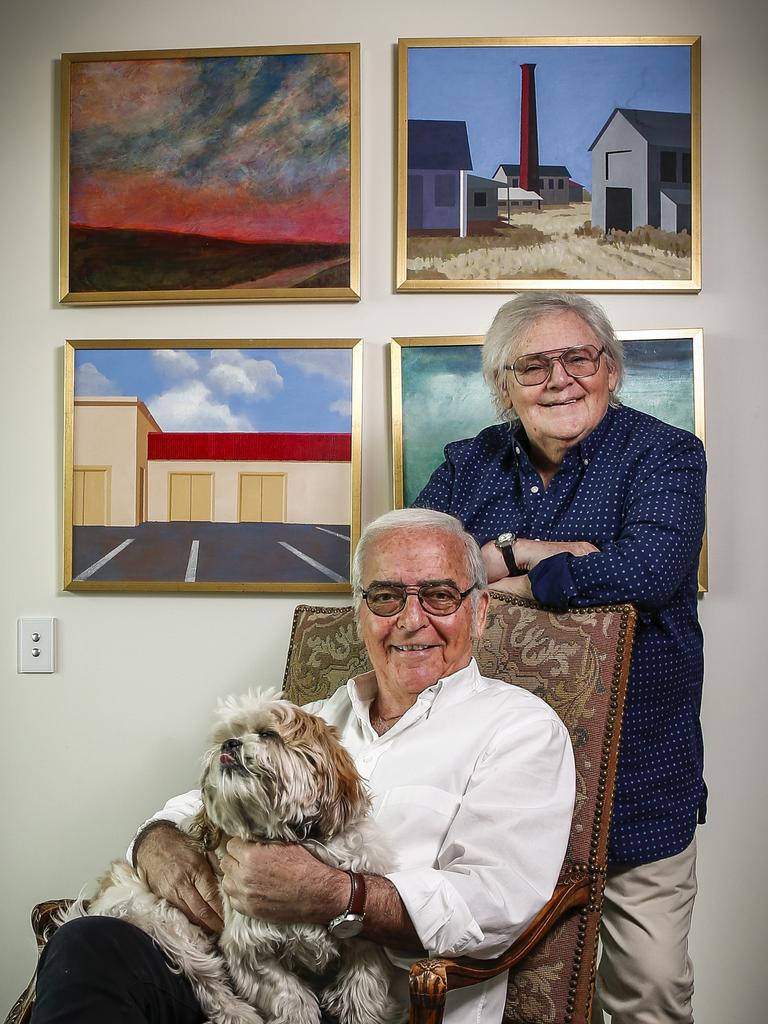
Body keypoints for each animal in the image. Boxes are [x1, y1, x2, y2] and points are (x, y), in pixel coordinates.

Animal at [64, 688, 403, 1024]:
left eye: (267, 734)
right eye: (227, 735)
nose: (229, 744)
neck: (292, 838)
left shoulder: (366, 939)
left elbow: (364, 992)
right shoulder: (249, 951)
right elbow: (291, 998)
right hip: (169, 922)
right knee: (208, 981)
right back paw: (238, 1013)